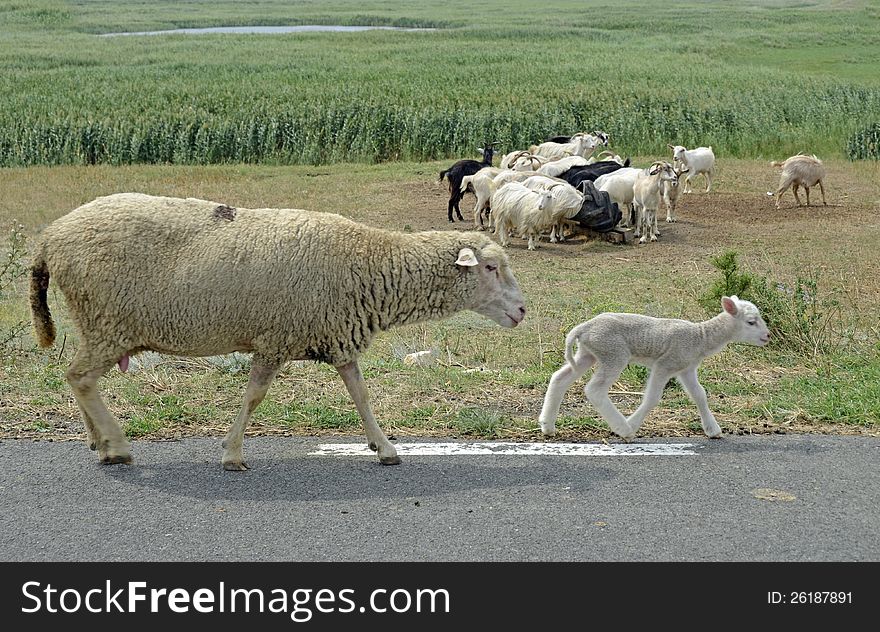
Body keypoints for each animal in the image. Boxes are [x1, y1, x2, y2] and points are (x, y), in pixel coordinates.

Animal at [31, 193, 524, 470]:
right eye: (490, 267)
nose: (521, 310)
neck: (369, 262)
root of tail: (49, 237)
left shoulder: (337, 337)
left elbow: (361, 395)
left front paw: (384, 447)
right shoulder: (275, 337)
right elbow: (254, 397)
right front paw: (232, 455)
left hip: (98, 323)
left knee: (80, 379)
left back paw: (99, 441)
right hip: (107, 320)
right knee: (79, 377)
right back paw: (116, 445)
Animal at [536, 296, 768, 440]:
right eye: (751, 322)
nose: (767, 336)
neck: (701, 337)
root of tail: (583, 328)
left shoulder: (686, 368)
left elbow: (700, 395)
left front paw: (713, 429)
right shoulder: (665, 364)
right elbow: (652, 398)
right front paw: (633, 423)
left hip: (588, 353)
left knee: (559, 378)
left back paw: (547, 426)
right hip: (614, 353)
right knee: (595, 390)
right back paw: (623, 428)